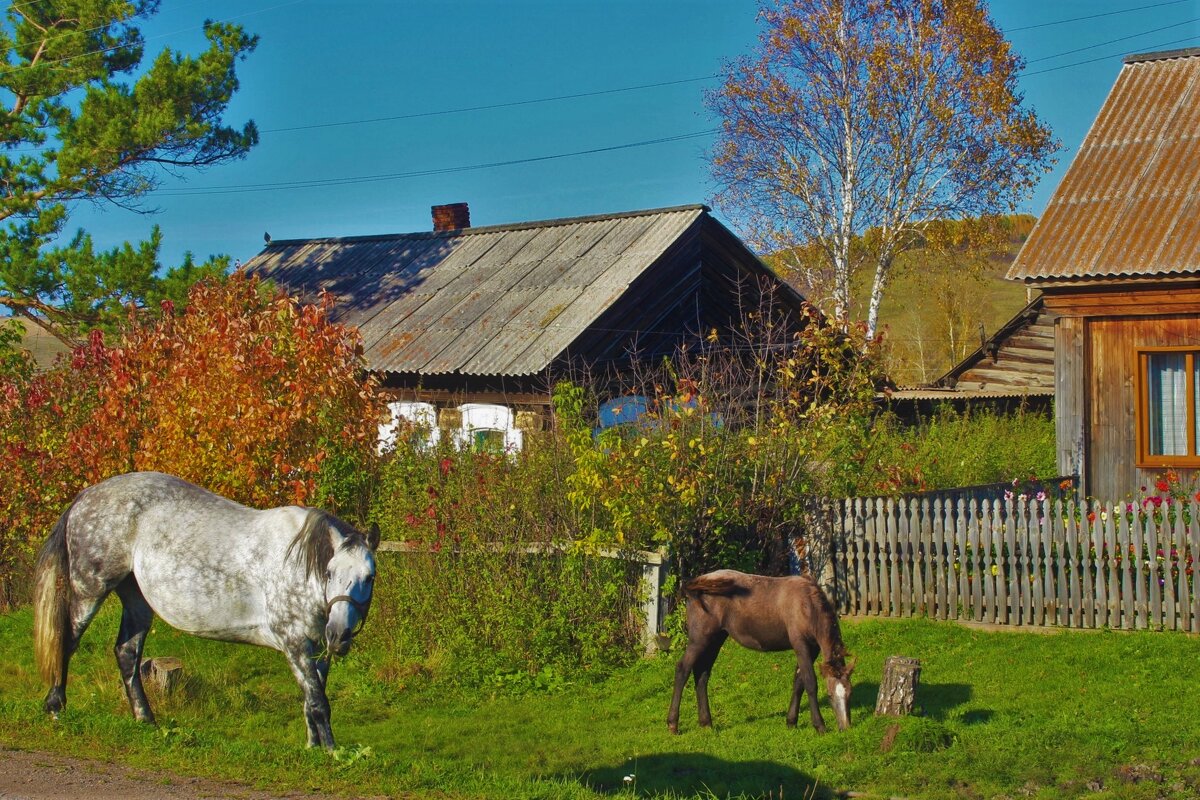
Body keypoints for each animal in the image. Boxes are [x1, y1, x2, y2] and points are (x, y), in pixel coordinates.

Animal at [31, 472, 379, 748]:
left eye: (370, 576)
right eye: (331, 573)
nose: (340, 634)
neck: (299, 566)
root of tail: (85, 497)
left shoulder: (316, 649)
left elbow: (311, 698)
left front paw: (313, 747)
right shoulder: (294, 643)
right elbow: (319, 702)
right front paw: (332, 752)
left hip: (136, 598)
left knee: (127, 653)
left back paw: (146, 721)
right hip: (89, 589)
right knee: (67, 642)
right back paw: (56, 709)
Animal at [667, 573, 854, 734]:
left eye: (849, 693)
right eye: (829, 695)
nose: (845, 727)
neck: (807, 605)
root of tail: (695, 584)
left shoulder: (813, 649)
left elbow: (798, 682)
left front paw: (791, 721)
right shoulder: (801, 646)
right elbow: (809, 682)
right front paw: (819, 725)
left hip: (715, 640)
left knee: (702, 674)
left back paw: (706, 723)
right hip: (699, 640)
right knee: (682, 669)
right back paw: (673, 724)